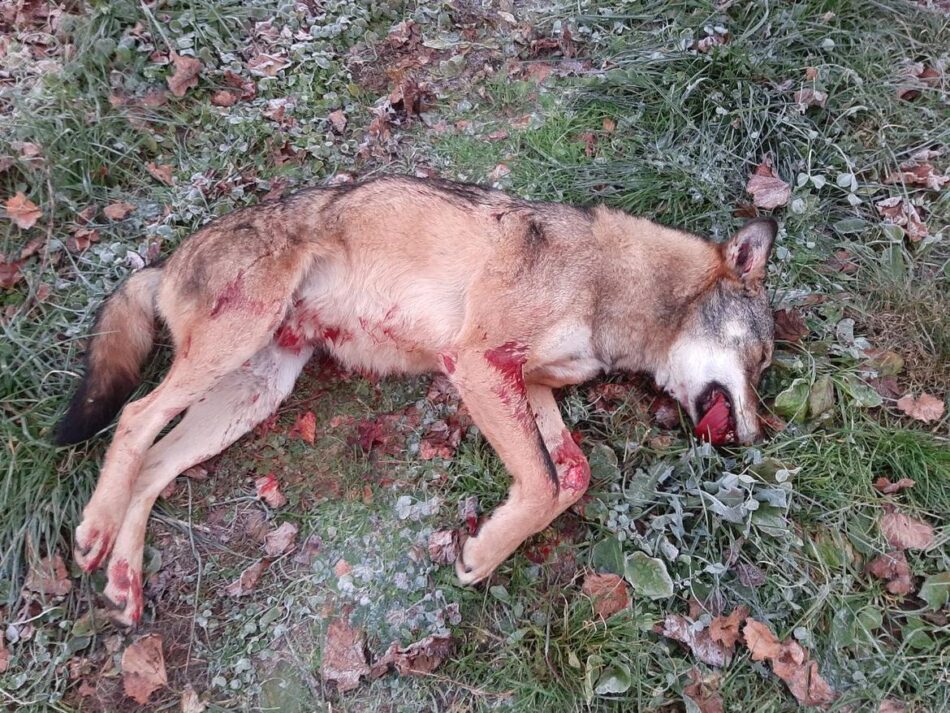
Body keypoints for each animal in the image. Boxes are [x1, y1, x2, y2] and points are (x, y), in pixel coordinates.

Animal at [55, 175, 775, 624]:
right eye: (763, 361)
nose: (756, 437)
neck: (612, 281)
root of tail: (165, 260)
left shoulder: (527, 382)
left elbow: (571, 475)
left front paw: (497, 536)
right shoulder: (478, 365)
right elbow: (545, 483)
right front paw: (482, 555)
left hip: (252, 394)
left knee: (154, 464)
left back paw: (124, 580)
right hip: (232, 350)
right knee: (133, 417)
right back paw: (94, 530)